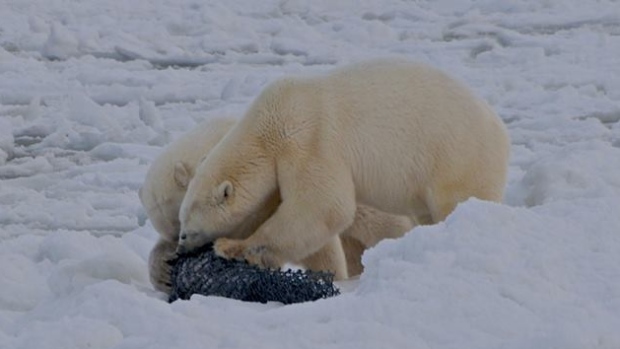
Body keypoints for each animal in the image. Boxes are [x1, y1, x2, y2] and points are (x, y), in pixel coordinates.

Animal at [139, 116, 412, 290]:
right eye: (175, 232)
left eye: (184, 226)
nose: (179, 252)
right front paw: (163, 272)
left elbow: (309, 238)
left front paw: (329, 278)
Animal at [178, 57, 508, 272]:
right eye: (181, 219)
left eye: (188, 225)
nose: (180, 247)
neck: (268, 127)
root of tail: (500, 130)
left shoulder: (309, 142)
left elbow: (324, 206)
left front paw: (232, 247)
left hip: (457, 156)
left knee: (458, 199)